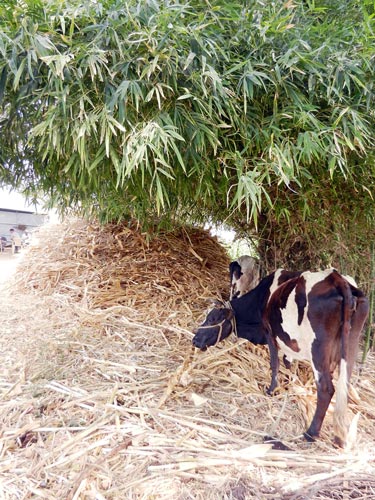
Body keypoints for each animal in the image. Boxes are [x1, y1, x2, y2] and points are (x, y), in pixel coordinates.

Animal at [194, 270, 370, 446]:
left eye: (213, 318)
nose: (194, 340)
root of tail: (337, 278)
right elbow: (287, 362)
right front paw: (288, 383)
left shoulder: (269, 332)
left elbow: (274, 363)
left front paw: (271, 390)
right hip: (351, 344)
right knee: (343, 386)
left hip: (318, 348)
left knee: (326, 388)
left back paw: (310, 434)